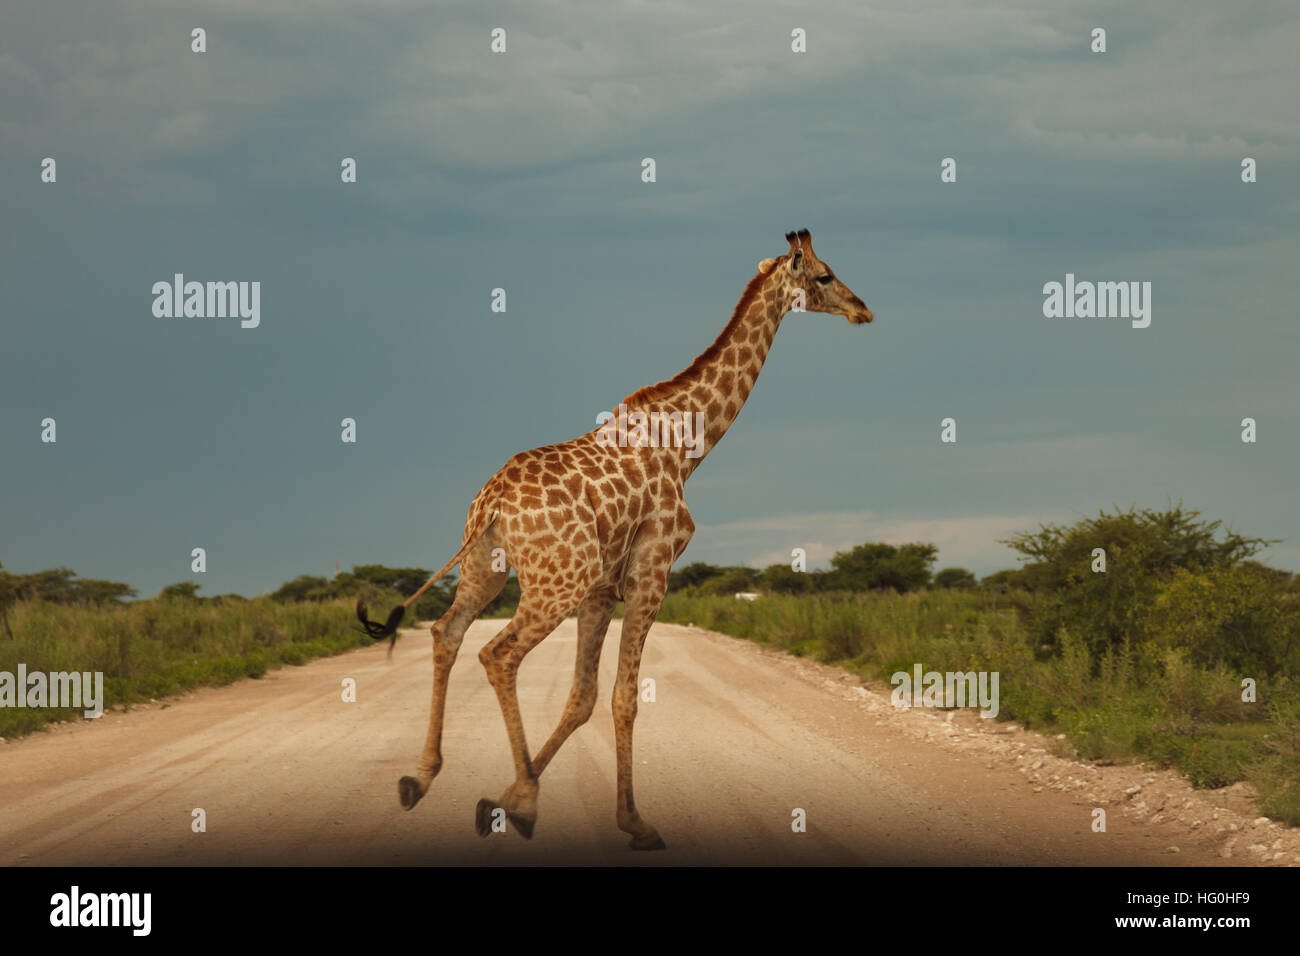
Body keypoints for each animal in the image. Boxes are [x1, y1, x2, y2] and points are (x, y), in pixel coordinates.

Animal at [358, 227, 873, 848]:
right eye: (825, 276)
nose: (863, 309)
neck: (688, 444)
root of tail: (493, 502)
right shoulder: (652, 570)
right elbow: (624, 698)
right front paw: (631, 822)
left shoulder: (603, 588)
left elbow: (581, 698)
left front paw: (502, 801)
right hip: (554, 582)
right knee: (497, 653)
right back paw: (523, 800)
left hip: (488, 567)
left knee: (446, 633)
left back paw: (422, 778)